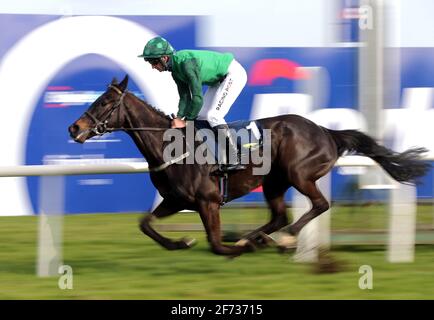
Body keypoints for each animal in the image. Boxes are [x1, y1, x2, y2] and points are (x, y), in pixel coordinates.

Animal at [68, 74, 430, 255]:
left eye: (105, 102)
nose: (74, 128)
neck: (171, 147)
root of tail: (326, 131)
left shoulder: (207, 201)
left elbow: (216, 245)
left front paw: (231, 247)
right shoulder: (175, 200)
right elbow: (145, 224)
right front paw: (181, 242)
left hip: (299, 174)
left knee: (318, 204)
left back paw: (280, 239)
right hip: (274, 182)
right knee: (279, 215)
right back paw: (256, 238)